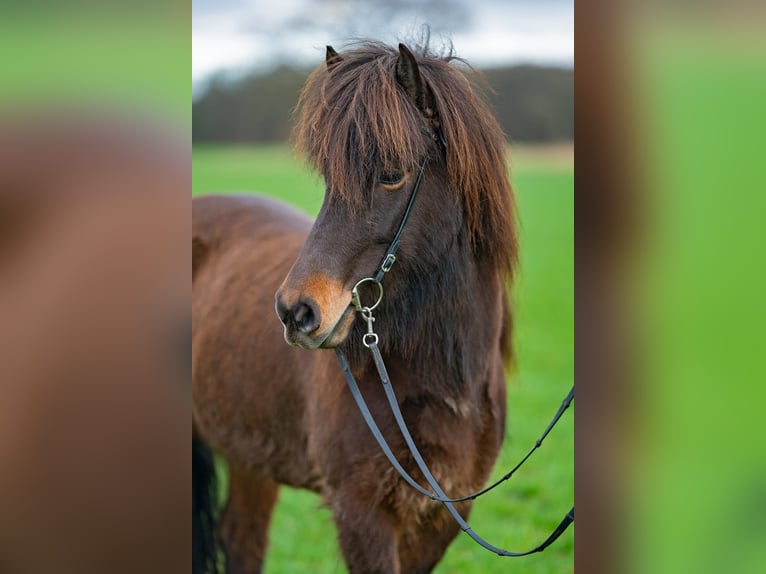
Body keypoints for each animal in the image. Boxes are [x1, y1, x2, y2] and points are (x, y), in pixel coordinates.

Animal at [192, 41, 520, 574]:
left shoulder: (443, 518)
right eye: (329, 178)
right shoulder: (360, 514)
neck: (445, 382)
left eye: (391, 175)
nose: (295, 311)